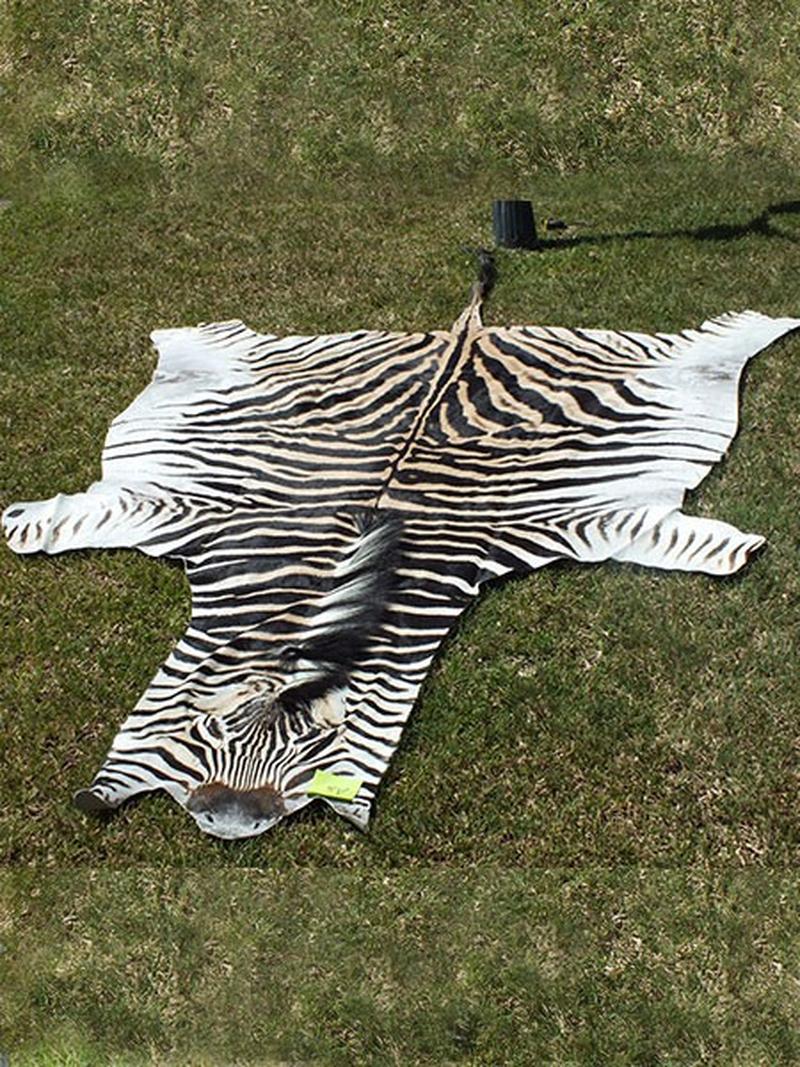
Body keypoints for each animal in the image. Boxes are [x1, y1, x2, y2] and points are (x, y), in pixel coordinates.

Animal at [3, 260, 798, 839]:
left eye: (312, 756)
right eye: (210, 736)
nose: (228, 821)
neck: (318, 591)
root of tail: (464, 334)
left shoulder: (550, 528)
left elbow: (661, 534)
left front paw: (742, 550)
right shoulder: (187, 516)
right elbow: (51, 525)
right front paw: (17, 520)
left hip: (657, 362)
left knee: (717, 339)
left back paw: (775, 321)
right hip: (269, 362)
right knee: (219, 337)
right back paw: (181, 335)